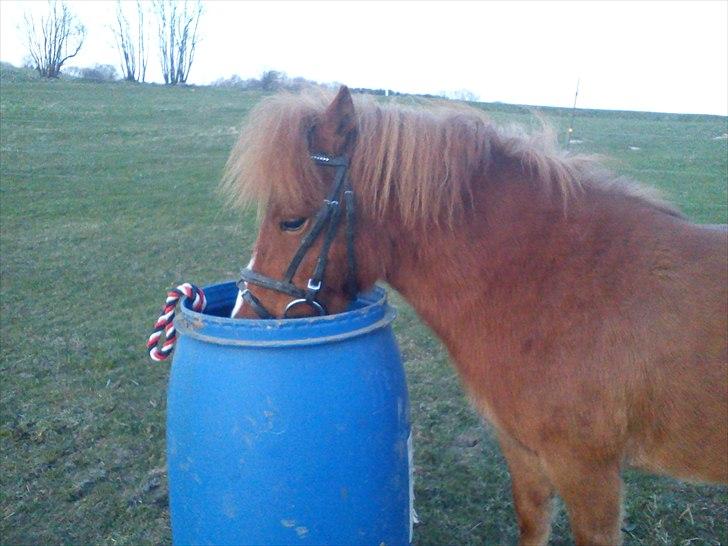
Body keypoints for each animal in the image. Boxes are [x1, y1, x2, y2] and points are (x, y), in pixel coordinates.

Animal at [222, 87, 728, 540]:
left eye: (291, 221)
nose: (246, 317)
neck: (558, 279)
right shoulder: (523, 451)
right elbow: (532, 524)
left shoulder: (588, 471)